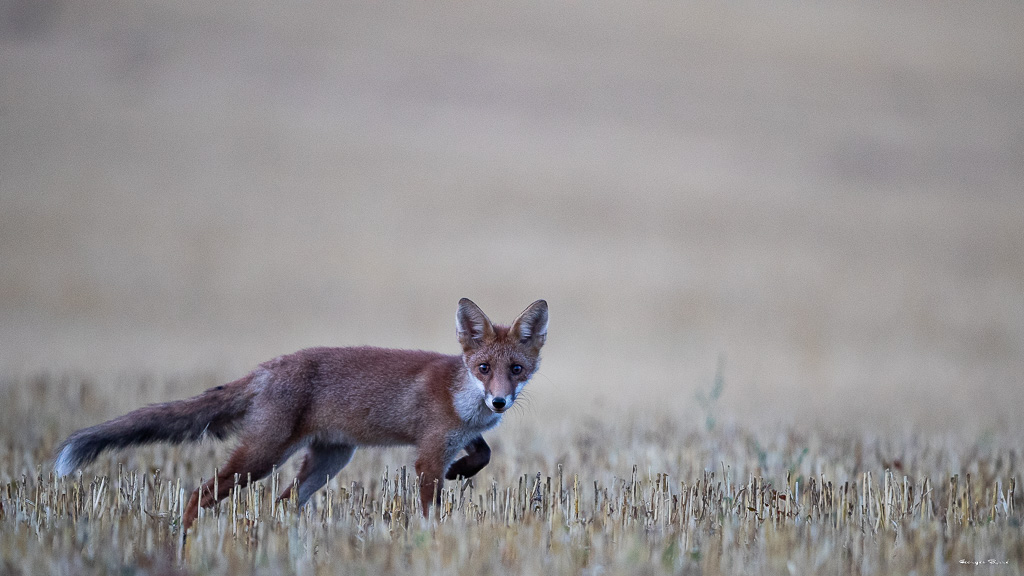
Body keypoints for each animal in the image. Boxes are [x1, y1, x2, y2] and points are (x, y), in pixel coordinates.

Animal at [53, 298, 548, 532]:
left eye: (515, 370)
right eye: (483, 368)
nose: (500, 402)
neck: (461, 397)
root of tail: (266, 368)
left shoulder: (457, 438)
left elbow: (483, 454)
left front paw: (463, 471)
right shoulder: (426, 455)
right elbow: (430, 509)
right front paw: (433, 537)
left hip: (329, 460)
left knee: (282, 502)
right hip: (262, 456)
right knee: (199, 493)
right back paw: (184, 541)